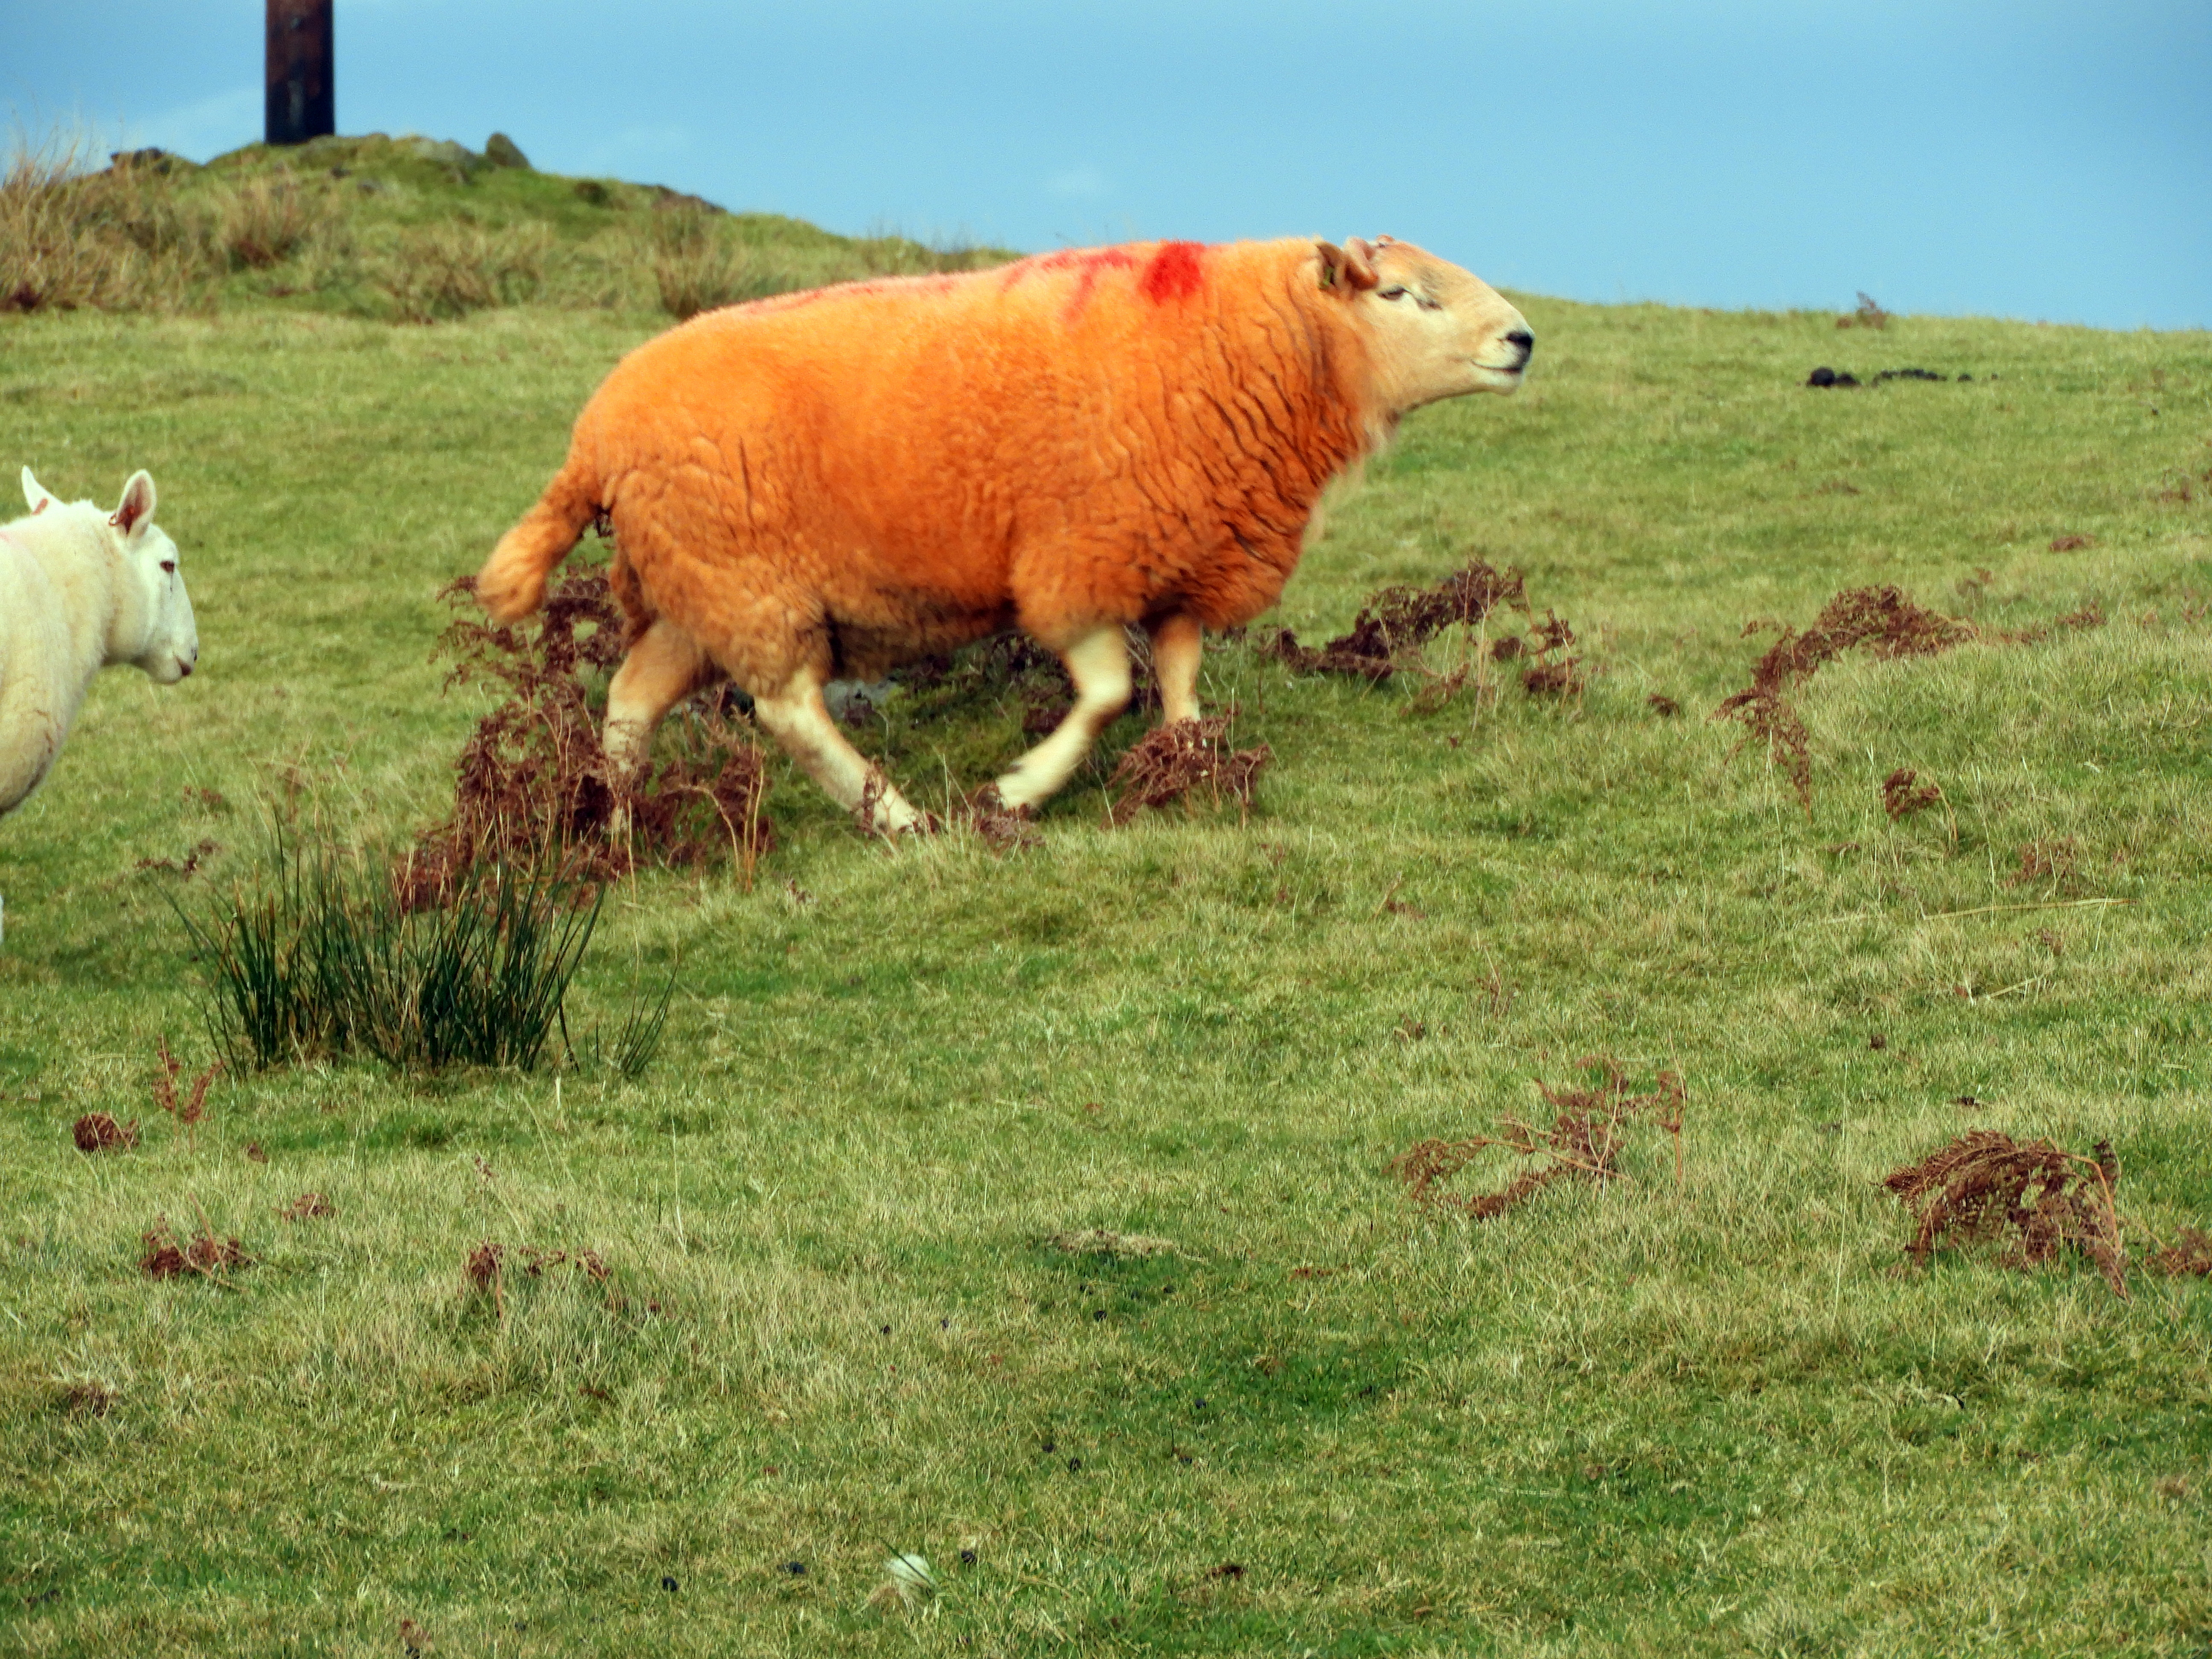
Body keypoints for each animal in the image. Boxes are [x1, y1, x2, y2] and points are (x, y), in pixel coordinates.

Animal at [475, 234, 1531, 832]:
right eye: (1400, 296)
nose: (1521, 339)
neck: (1261, 347)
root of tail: (593, 437)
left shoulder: (1179, 555)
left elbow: (1181, 680)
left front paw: (1190, 768)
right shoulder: (1078, 561)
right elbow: (1106, 693)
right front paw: (1019, 791)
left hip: (697, 594)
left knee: (630, 699)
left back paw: (619, 828)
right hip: (747, 583)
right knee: (790, 711)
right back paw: (897, 818)